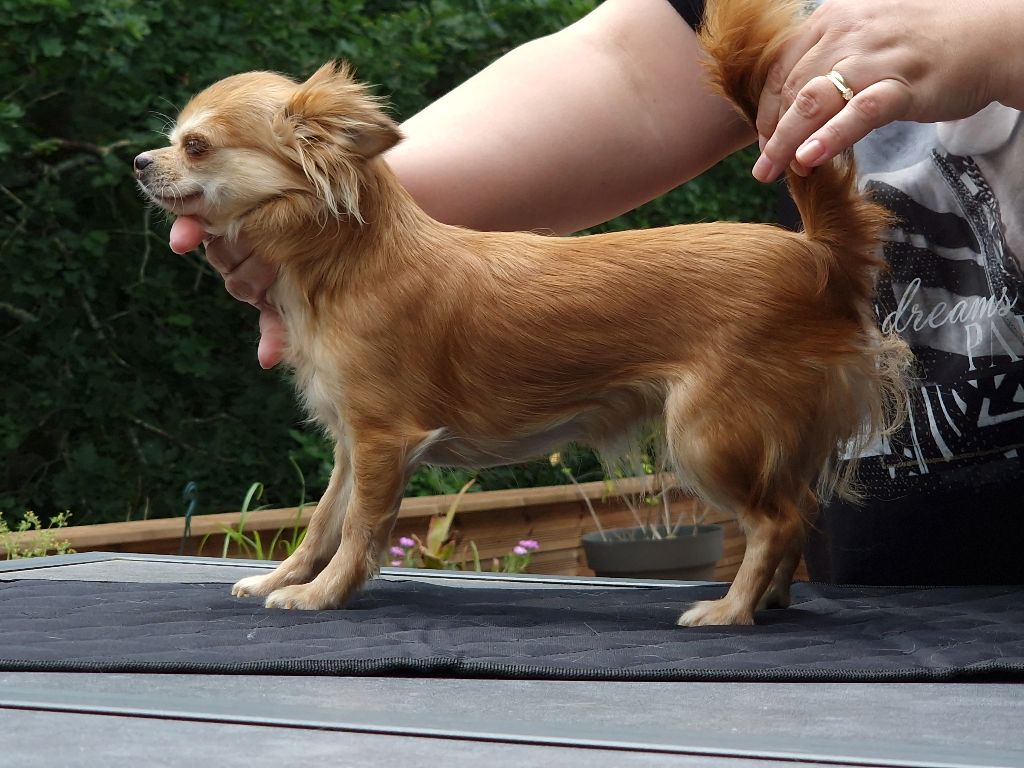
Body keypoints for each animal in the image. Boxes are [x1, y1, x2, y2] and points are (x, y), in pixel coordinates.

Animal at [138, 0, 913, 626]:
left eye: (195, 146)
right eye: (171, 140)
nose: (142, 161)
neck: (347, 260)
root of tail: (817, 251)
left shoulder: (384, 439)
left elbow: (358, 529)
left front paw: (322, 595)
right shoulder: (352, 444)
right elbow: (326, 519)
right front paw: (286, 576)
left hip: (705, 432)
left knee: (775, 522)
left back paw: (729, 610)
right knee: (797, 515)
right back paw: (770, 601)